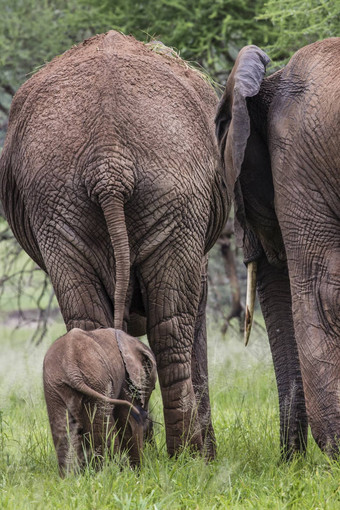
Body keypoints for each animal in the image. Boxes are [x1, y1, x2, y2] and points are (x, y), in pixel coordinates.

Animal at [42, 326, 158, 474]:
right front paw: (137, 472)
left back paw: (70, 477)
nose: (144, 412)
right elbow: (129, 420)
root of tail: (71, 366)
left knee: (62, 428)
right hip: (97, 380)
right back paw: (107, 472)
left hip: (55, 386)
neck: (132, 341)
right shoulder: (126, 379)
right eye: (153, 388)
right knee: (103, 426)